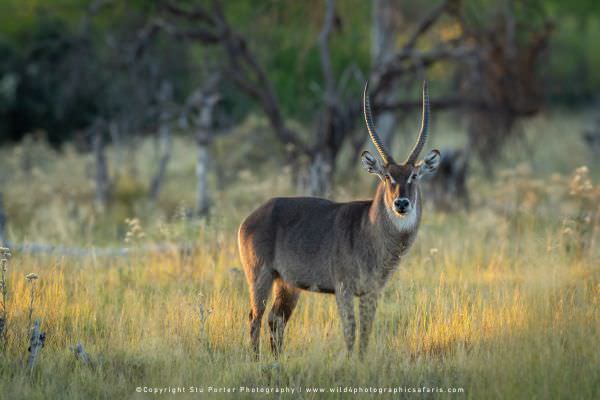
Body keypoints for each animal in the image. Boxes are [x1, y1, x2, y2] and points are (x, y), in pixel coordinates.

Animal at [238, 79, 440, 358]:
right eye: (387, 176)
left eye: (414, 176)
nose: (401, 203)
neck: (369, 230)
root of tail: (251, 217)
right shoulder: (343, 289)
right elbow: (350, 331)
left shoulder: (371, 292)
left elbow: (365, 333)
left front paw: (362, 362)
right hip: (260, 276)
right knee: (254, 318)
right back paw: (256, 361)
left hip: (287, 283)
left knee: (275, 319)